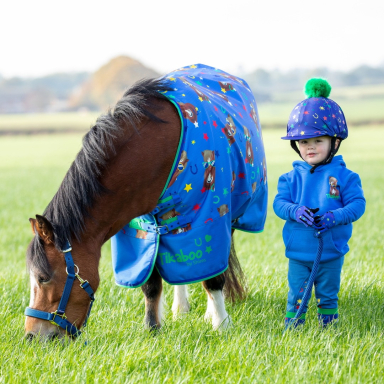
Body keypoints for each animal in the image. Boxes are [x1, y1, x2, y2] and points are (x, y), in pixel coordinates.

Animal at [24, 76, 246, 340]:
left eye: (42, 278)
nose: (31, 335)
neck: (152, 151)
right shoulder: (143, 228)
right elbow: (151, 282)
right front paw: (152, 328)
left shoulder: (209, 220)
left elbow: (213, 277)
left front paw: (221, 324)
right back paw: (180, 308)